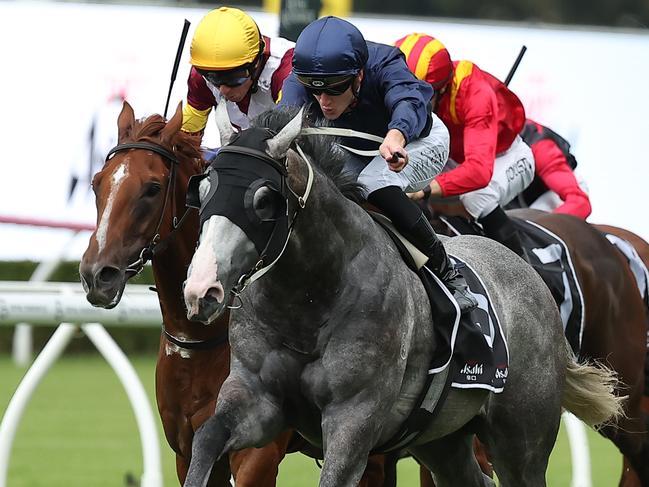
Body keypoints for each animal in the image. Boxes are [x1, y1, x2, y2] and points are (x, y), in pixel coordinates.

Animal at [78, 100, 388, 487]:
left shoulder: (257, 455)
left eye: (152, 188)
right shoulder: (187, 451)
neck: (199, 339)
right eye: (97, 183)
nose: (96, 275)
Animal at [180, 106, 620, 487]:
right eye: (203, 189)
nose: (202, 289)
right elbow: (207, 439)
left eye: (263, 199)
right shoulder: (257, 397)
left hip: (521, 438)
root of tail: (533, 278)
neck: (309, 303)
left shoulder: (353, 419)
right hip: (441, 439)